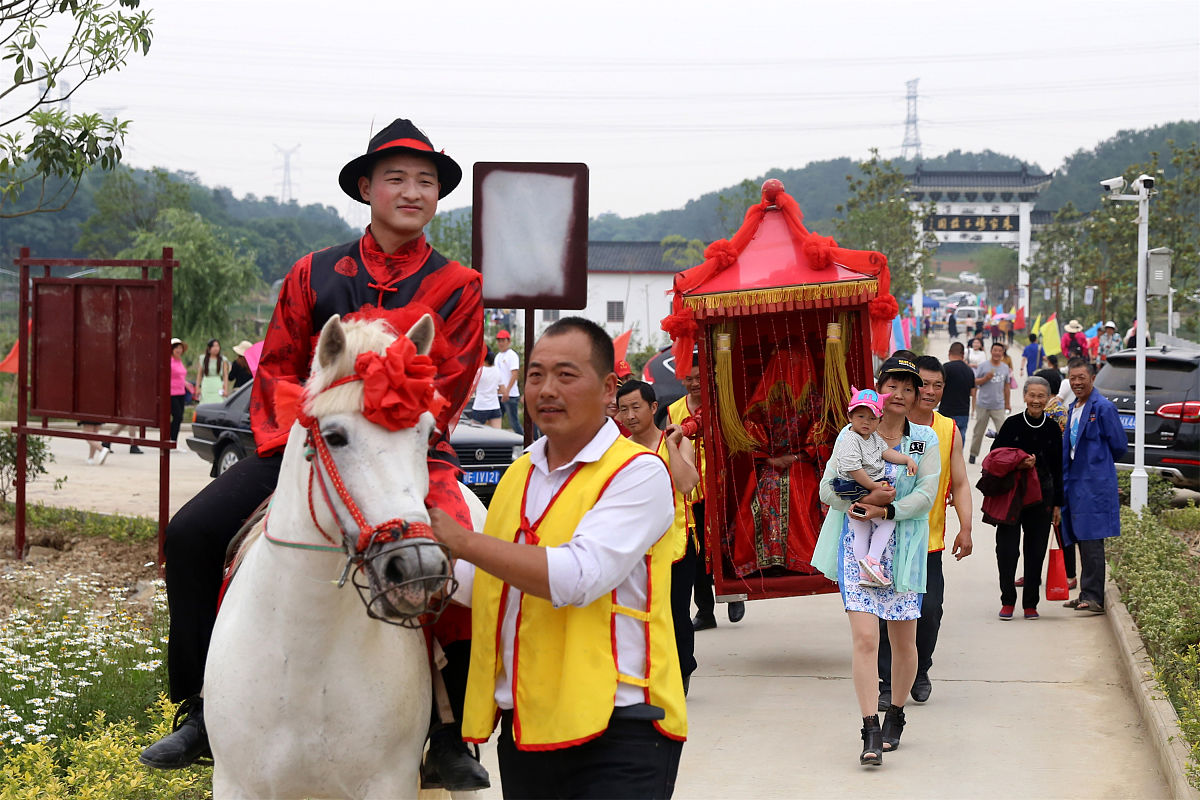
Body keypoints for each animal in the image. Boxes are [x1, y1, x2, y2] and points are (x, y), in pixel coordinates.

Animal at [205, 314, 482, 800]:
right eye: (334, 436)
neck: (303, 655)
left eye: (427, 434)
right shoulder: (237, 783)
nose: (417, 567)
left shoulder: (388, 784)